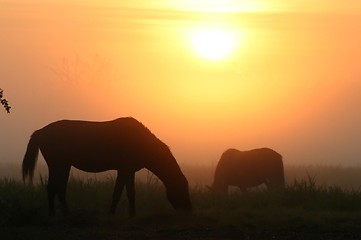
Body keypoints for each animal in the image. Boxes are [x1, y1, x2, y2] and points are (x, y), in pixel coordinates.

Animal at [22, 117, 191, 217]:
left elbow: (127, 193)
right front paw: (116, 214)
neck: (141, 141)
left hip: (62, 165)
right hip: (58, 165)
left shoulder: (127, 171)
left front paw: (128, 214)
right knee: (54, 188)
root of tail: (40, 132)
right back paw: (56, 214)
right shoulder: (125, 169)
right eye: (183, 189)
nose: (188, 209)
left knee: (57, 188)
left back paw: (64, 213)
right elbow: (120, 193)